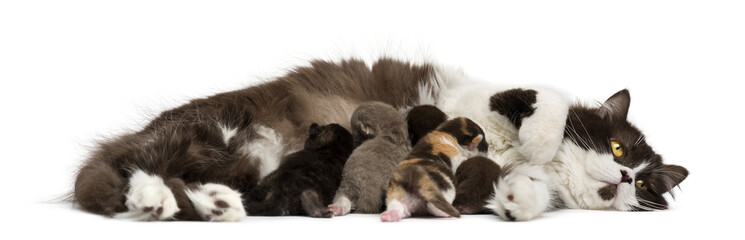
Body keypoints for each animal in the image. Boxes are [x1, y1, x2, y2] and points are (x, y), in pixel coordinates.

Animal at [74, 57, 684, 221]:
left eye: (645, 185)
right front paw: (539, 138)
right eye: (619, 148)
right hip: (220, 132)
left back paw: (216, 206)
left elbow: (527, 190)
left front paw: (513, 201)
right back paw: (150, 198)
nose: (626, 175)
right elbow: (550, 104)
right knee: (133, 170)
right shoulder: (487, 98)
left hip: (247, 159)